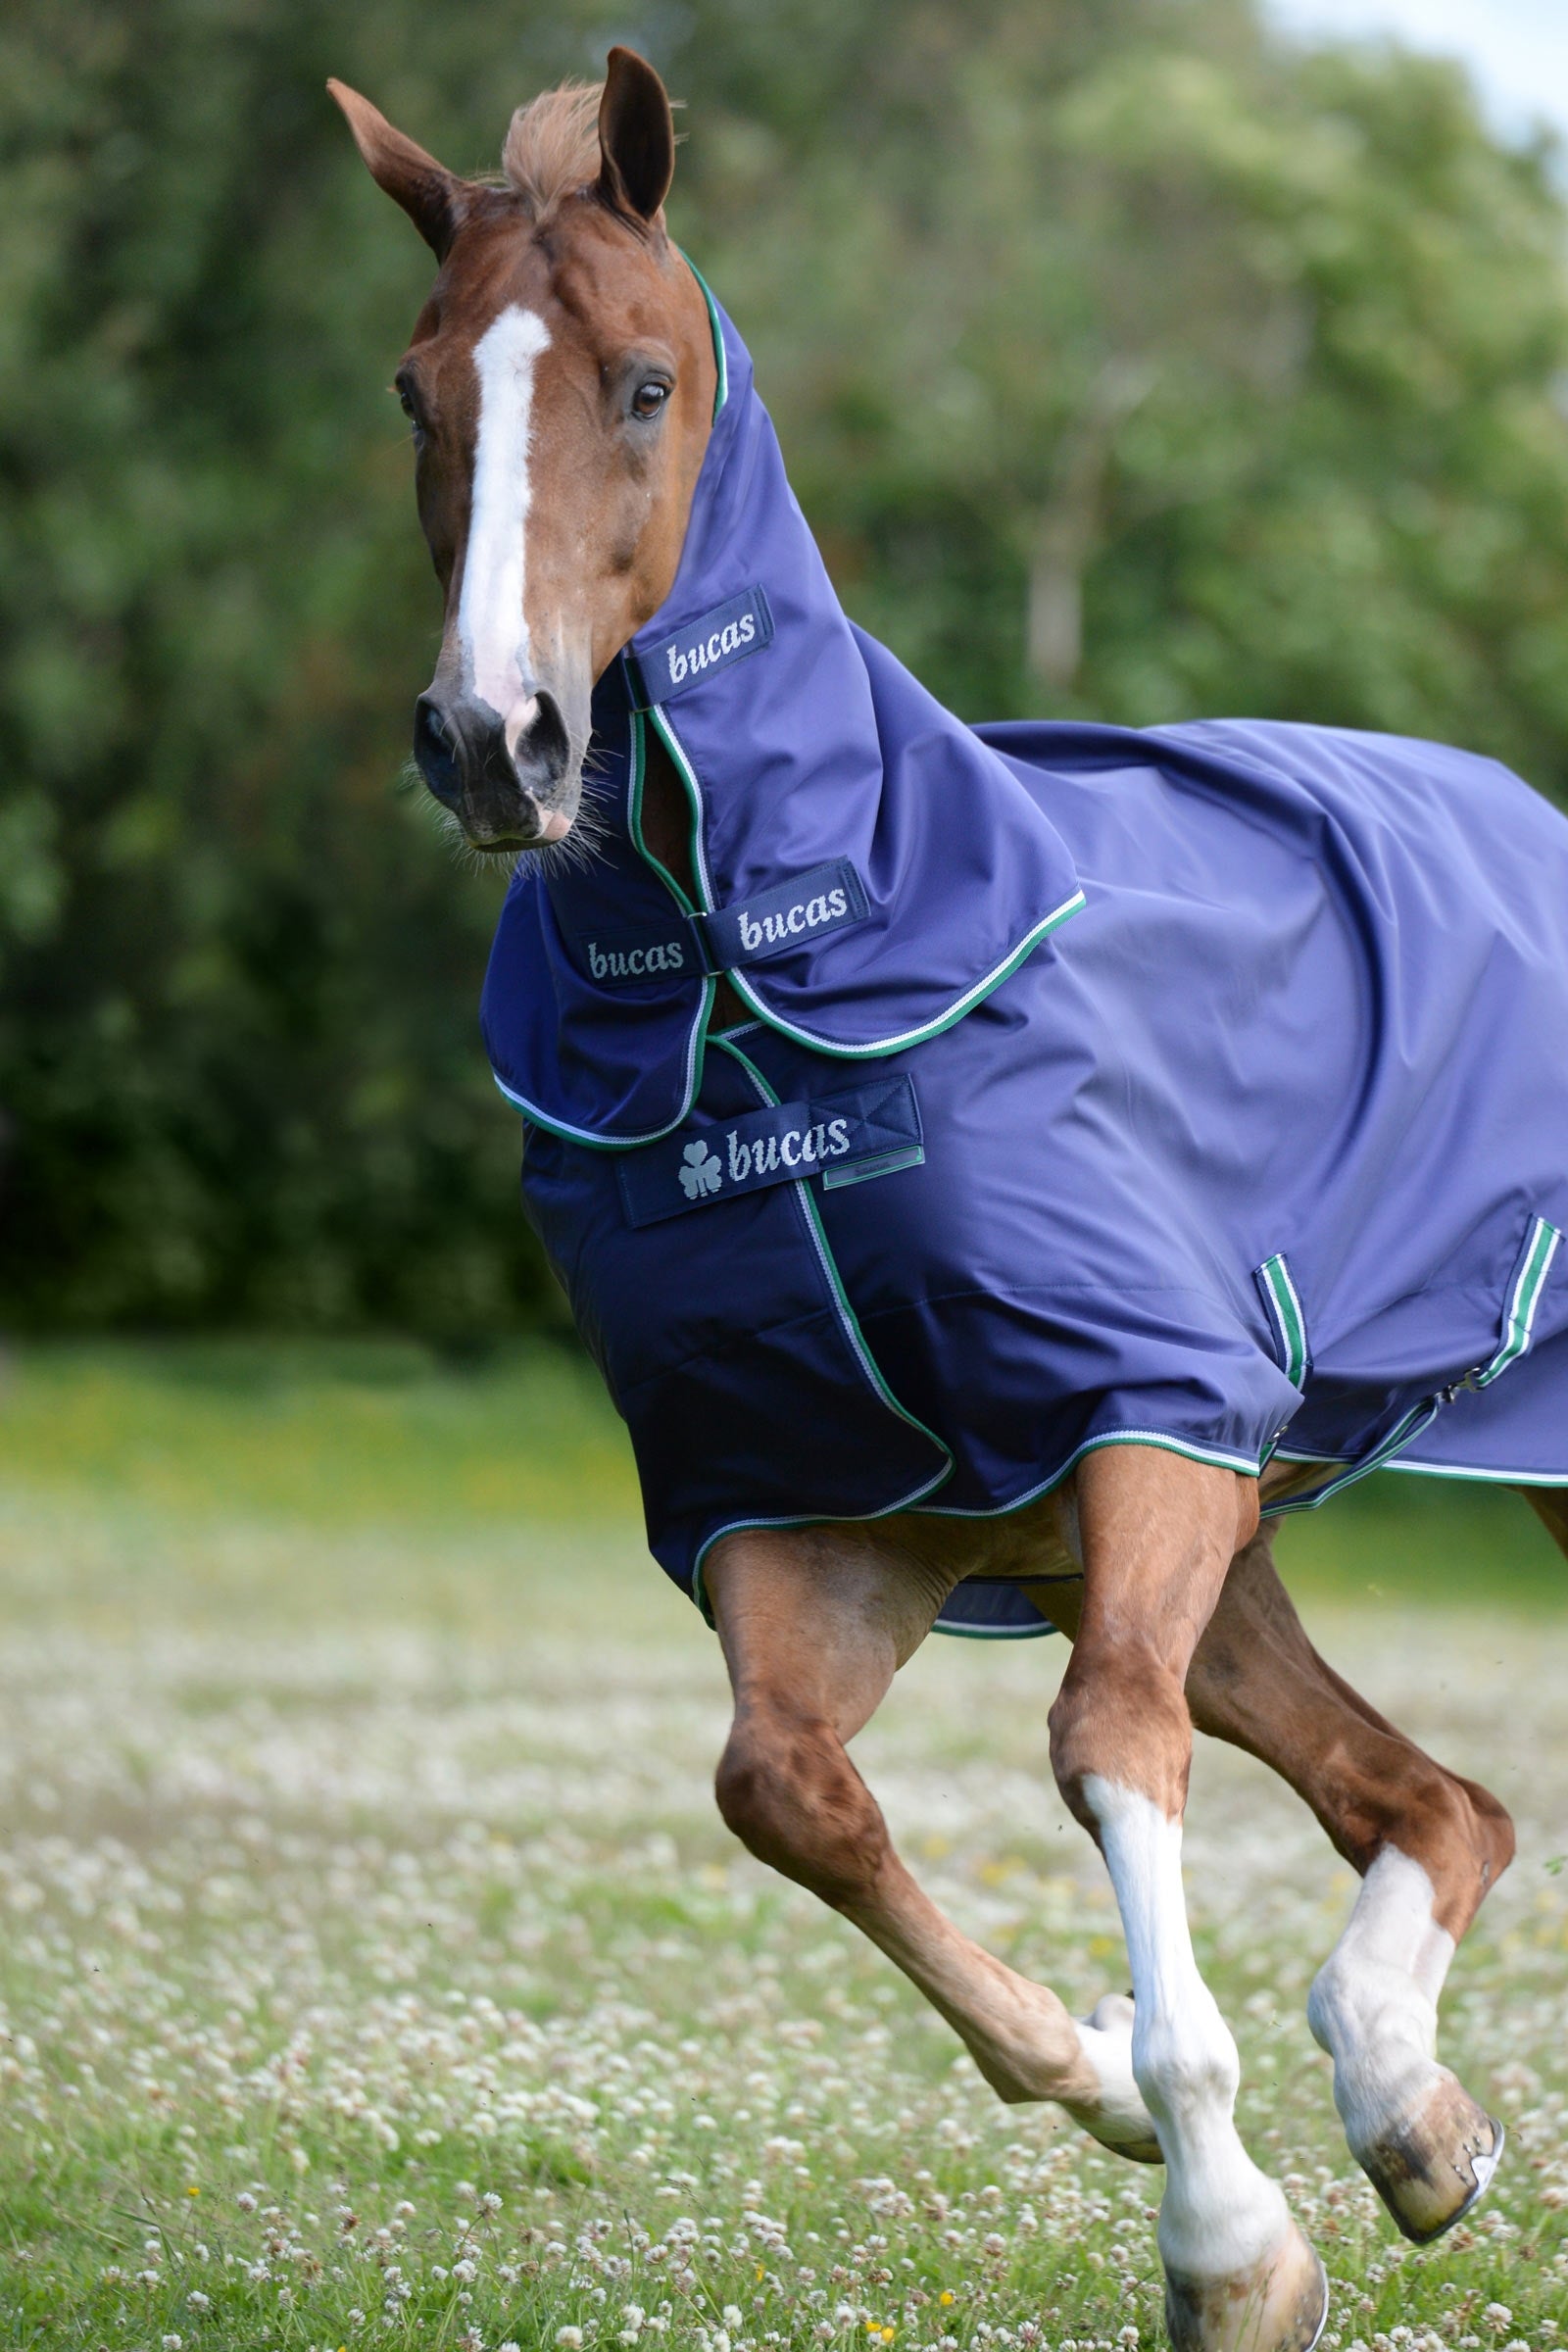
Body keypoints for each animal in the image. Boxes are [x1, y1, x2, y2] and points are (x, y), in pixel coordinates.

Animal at [329, 50, 1568, 2352]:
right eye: (414, 388)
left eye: (642, 383)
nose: (491, 739)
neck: (773, 987)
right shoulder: (815, 1509)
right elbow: (785, 1793)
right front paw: (1107, 2074)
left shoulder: (1141, 1416)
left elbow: (1100, 1752)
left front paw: (1223, 2244)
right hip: (1222, 1549)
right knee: (1440, 1805)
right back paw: (1405, 2110)